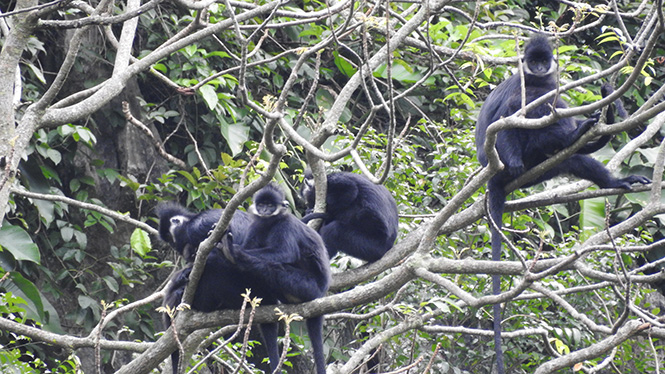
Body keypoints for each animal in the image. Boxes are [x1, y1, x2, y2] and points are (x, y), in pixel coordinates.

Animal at [228, 183, 332, 374]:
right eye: (262, 204)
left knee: (274, 267)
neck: (271, 222)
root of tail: (321, 293)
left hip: (308, 287)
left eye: (270, 205)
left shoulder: (286, 225)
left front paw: (235, 251)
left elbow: (284, 253)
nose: (264, 210)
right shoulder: (258, 224)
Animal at [472, 34, 648, 372]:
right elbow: (507, 118)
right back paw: (569, 137)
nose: (540, 68)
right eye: (534, 61)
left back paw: (609, 174)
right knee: (531, 116)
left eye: (544, 61)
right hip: (522, 157)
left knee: (574, 156)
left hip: (548, 164)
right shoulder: (523, 92)